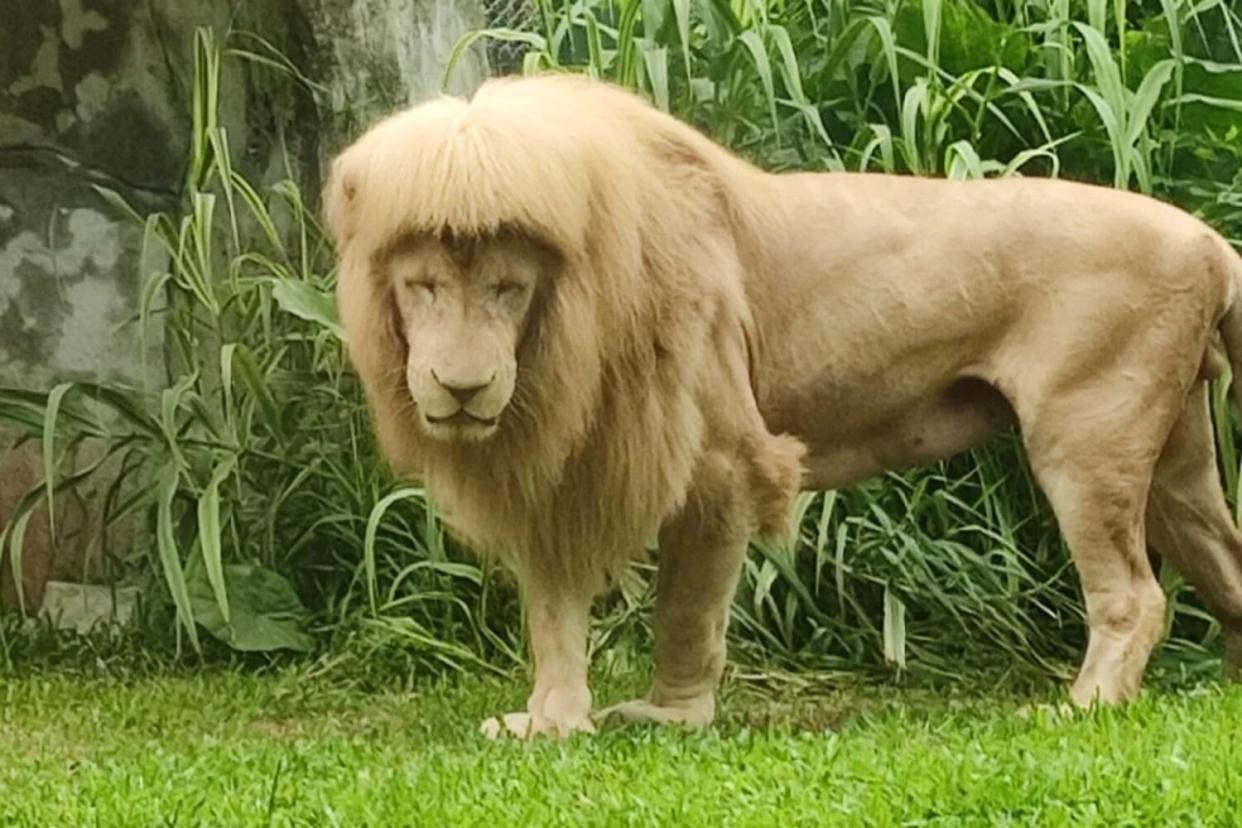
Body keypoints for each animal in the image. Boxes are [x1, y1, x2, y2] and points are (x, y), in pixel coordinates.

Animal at [327, 76, 1242, 739]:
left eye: (509, 289)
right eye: (424, 286)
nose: (462, 386)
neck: (566, 332)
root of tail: (1208, 240)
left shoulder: (722, 461)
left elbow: (686, 609)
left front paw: (670, 718)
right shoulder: (561, 470)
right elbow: (554, 614)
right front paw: (549, 723)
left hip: (1085, 437)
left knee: (1136, 596)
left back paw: (1084, 705)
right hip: (1176, 460)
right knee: (1226, 563)